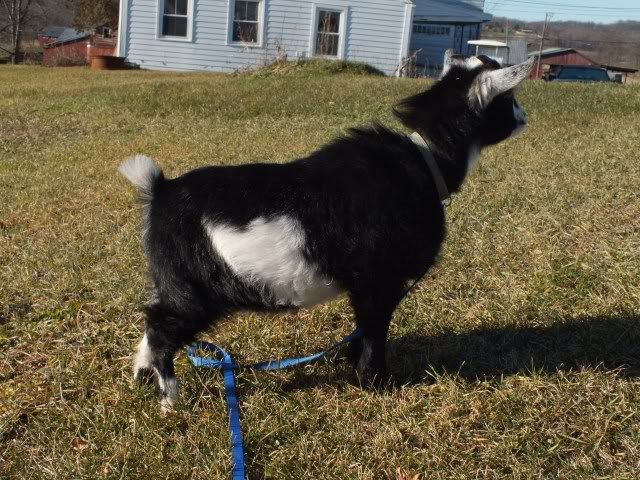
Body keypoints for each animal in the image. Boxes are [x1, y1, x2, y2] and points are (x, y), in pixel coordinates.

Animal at [120, 51, 534, 409]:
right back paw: (170, 399)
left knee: (153, 319)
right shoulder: (379, 279)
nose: (525, 117)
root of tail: (161, 190)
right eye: (509, 99)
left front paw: (355, 366)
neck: (426, 158)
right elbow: (374, 327)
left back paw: (141, 375)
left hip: (170, 280)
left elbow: (362, 326)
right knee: (161, 328)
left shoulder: (366, 283)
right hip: (198, 288)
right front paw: (376, 382)